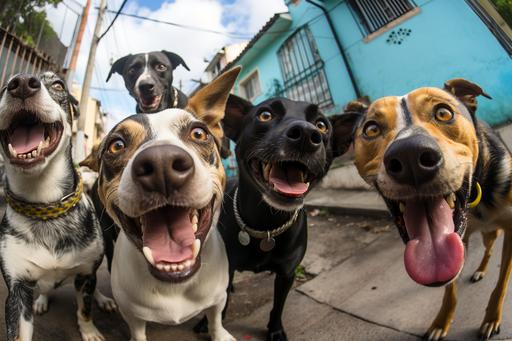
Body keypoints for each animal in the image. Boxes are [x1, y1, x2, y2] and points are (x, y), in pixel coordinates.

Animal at [0, 72, 115, 340]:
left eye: (58, 85)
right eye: (2, 87)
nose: (21, 84)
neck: (45, 204)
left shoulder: (86, 273)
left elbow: (84, 308)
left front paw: (89, 331)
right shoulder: (17, 289)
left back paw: (103, 299)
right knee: (44, 288)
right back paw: (42, 300)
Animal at [82, 67, 242, 340]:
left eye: (199, 133)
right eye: (116, 145)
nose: (161, 165)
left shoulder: (217, 297)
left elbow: (215, 318)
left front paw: (220, 334)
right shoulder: (133, 315)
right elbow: (137, 332)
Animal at [196, 95, 360, 340]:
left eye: (322, 125)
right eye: (265, 115)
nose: (306, 134)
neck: (266, 223)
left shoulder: (287, 274)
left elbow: (278, 305)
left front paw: (275, 330)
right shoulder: (227, 265)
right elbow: (220, 300)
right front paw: (210, 324)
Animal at [350, 78, 512, 338]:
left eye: (444, 113)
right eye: (371, 129)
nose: (410, 157)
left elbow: (501, 283)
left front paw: (491, 318)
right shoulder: (459, 242)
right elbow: (450, 290)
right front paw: (441, 322)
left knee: (489, 247)